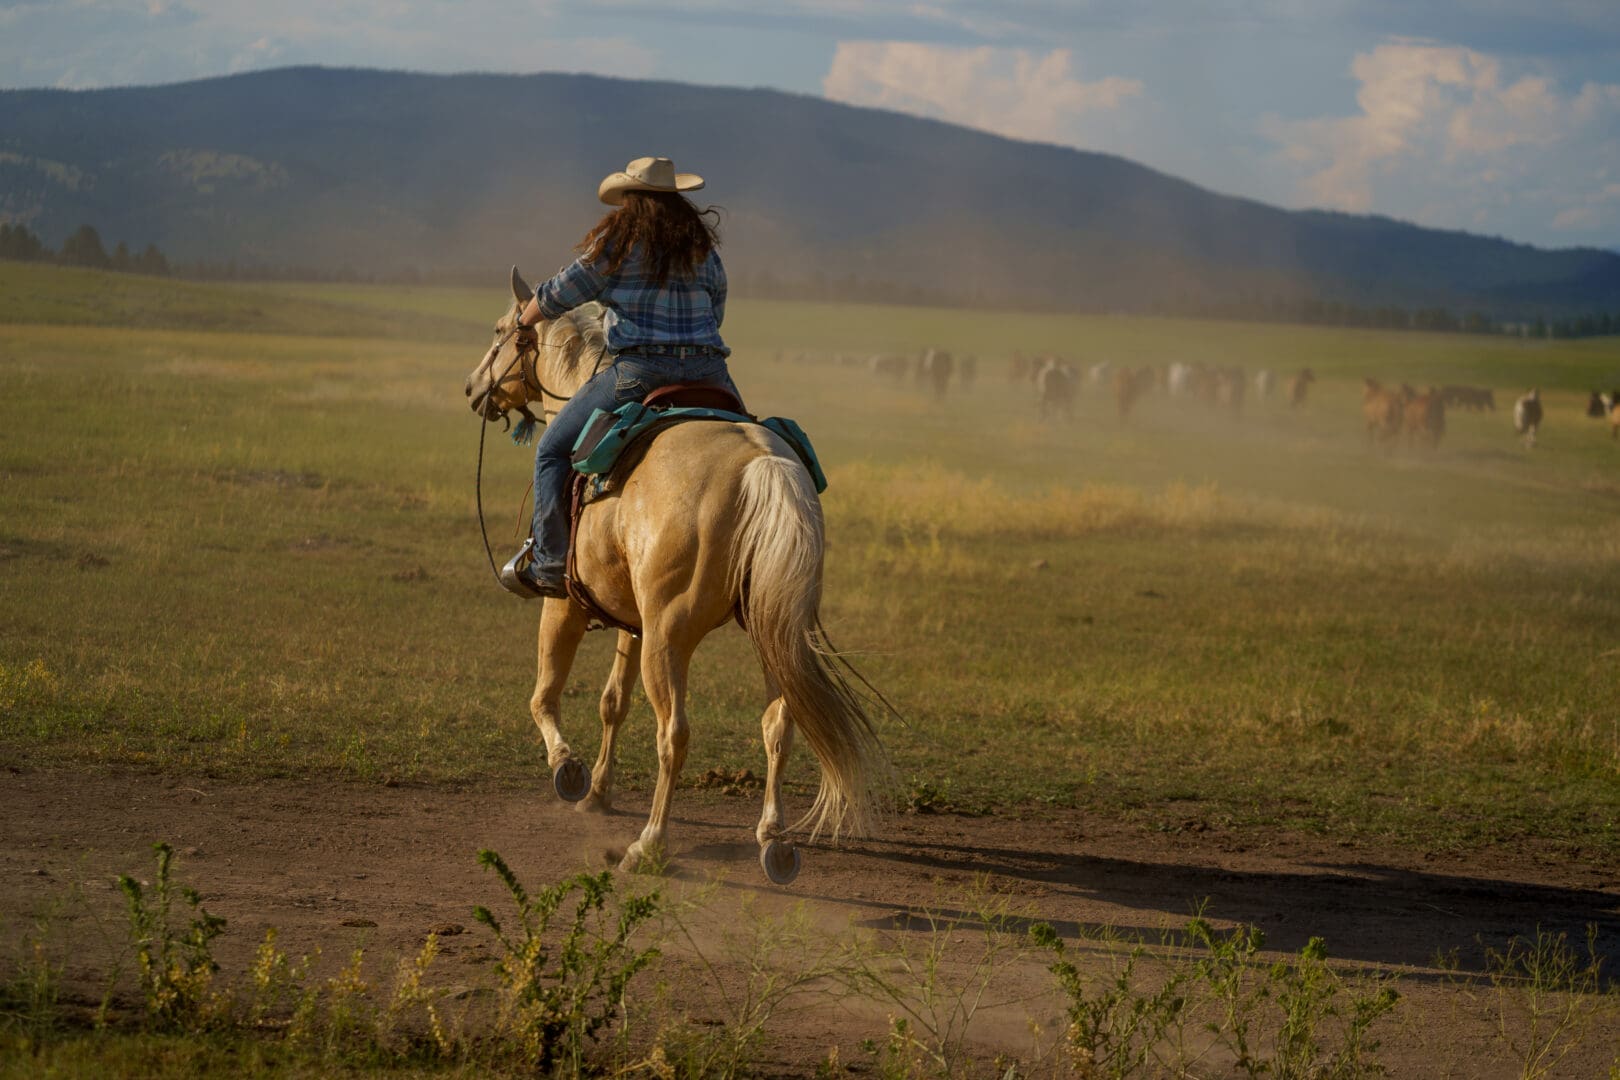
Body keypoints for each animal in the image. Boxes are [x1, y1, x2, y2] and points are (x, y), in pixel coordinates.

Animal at [464, 269, 886, 884]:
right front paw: (598, 792)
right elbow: (613, 702)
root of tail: (762, 466)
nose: (474, 387)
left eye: (500, 330)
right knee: (778, 726)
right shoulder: (631, 619)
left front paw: (570, 772)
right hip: (773, 633)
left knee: (675, 734)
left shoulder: (567, 603)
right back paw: (774, 840)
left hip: (670, 637)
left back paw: (650, 844)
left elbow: (544, 694)